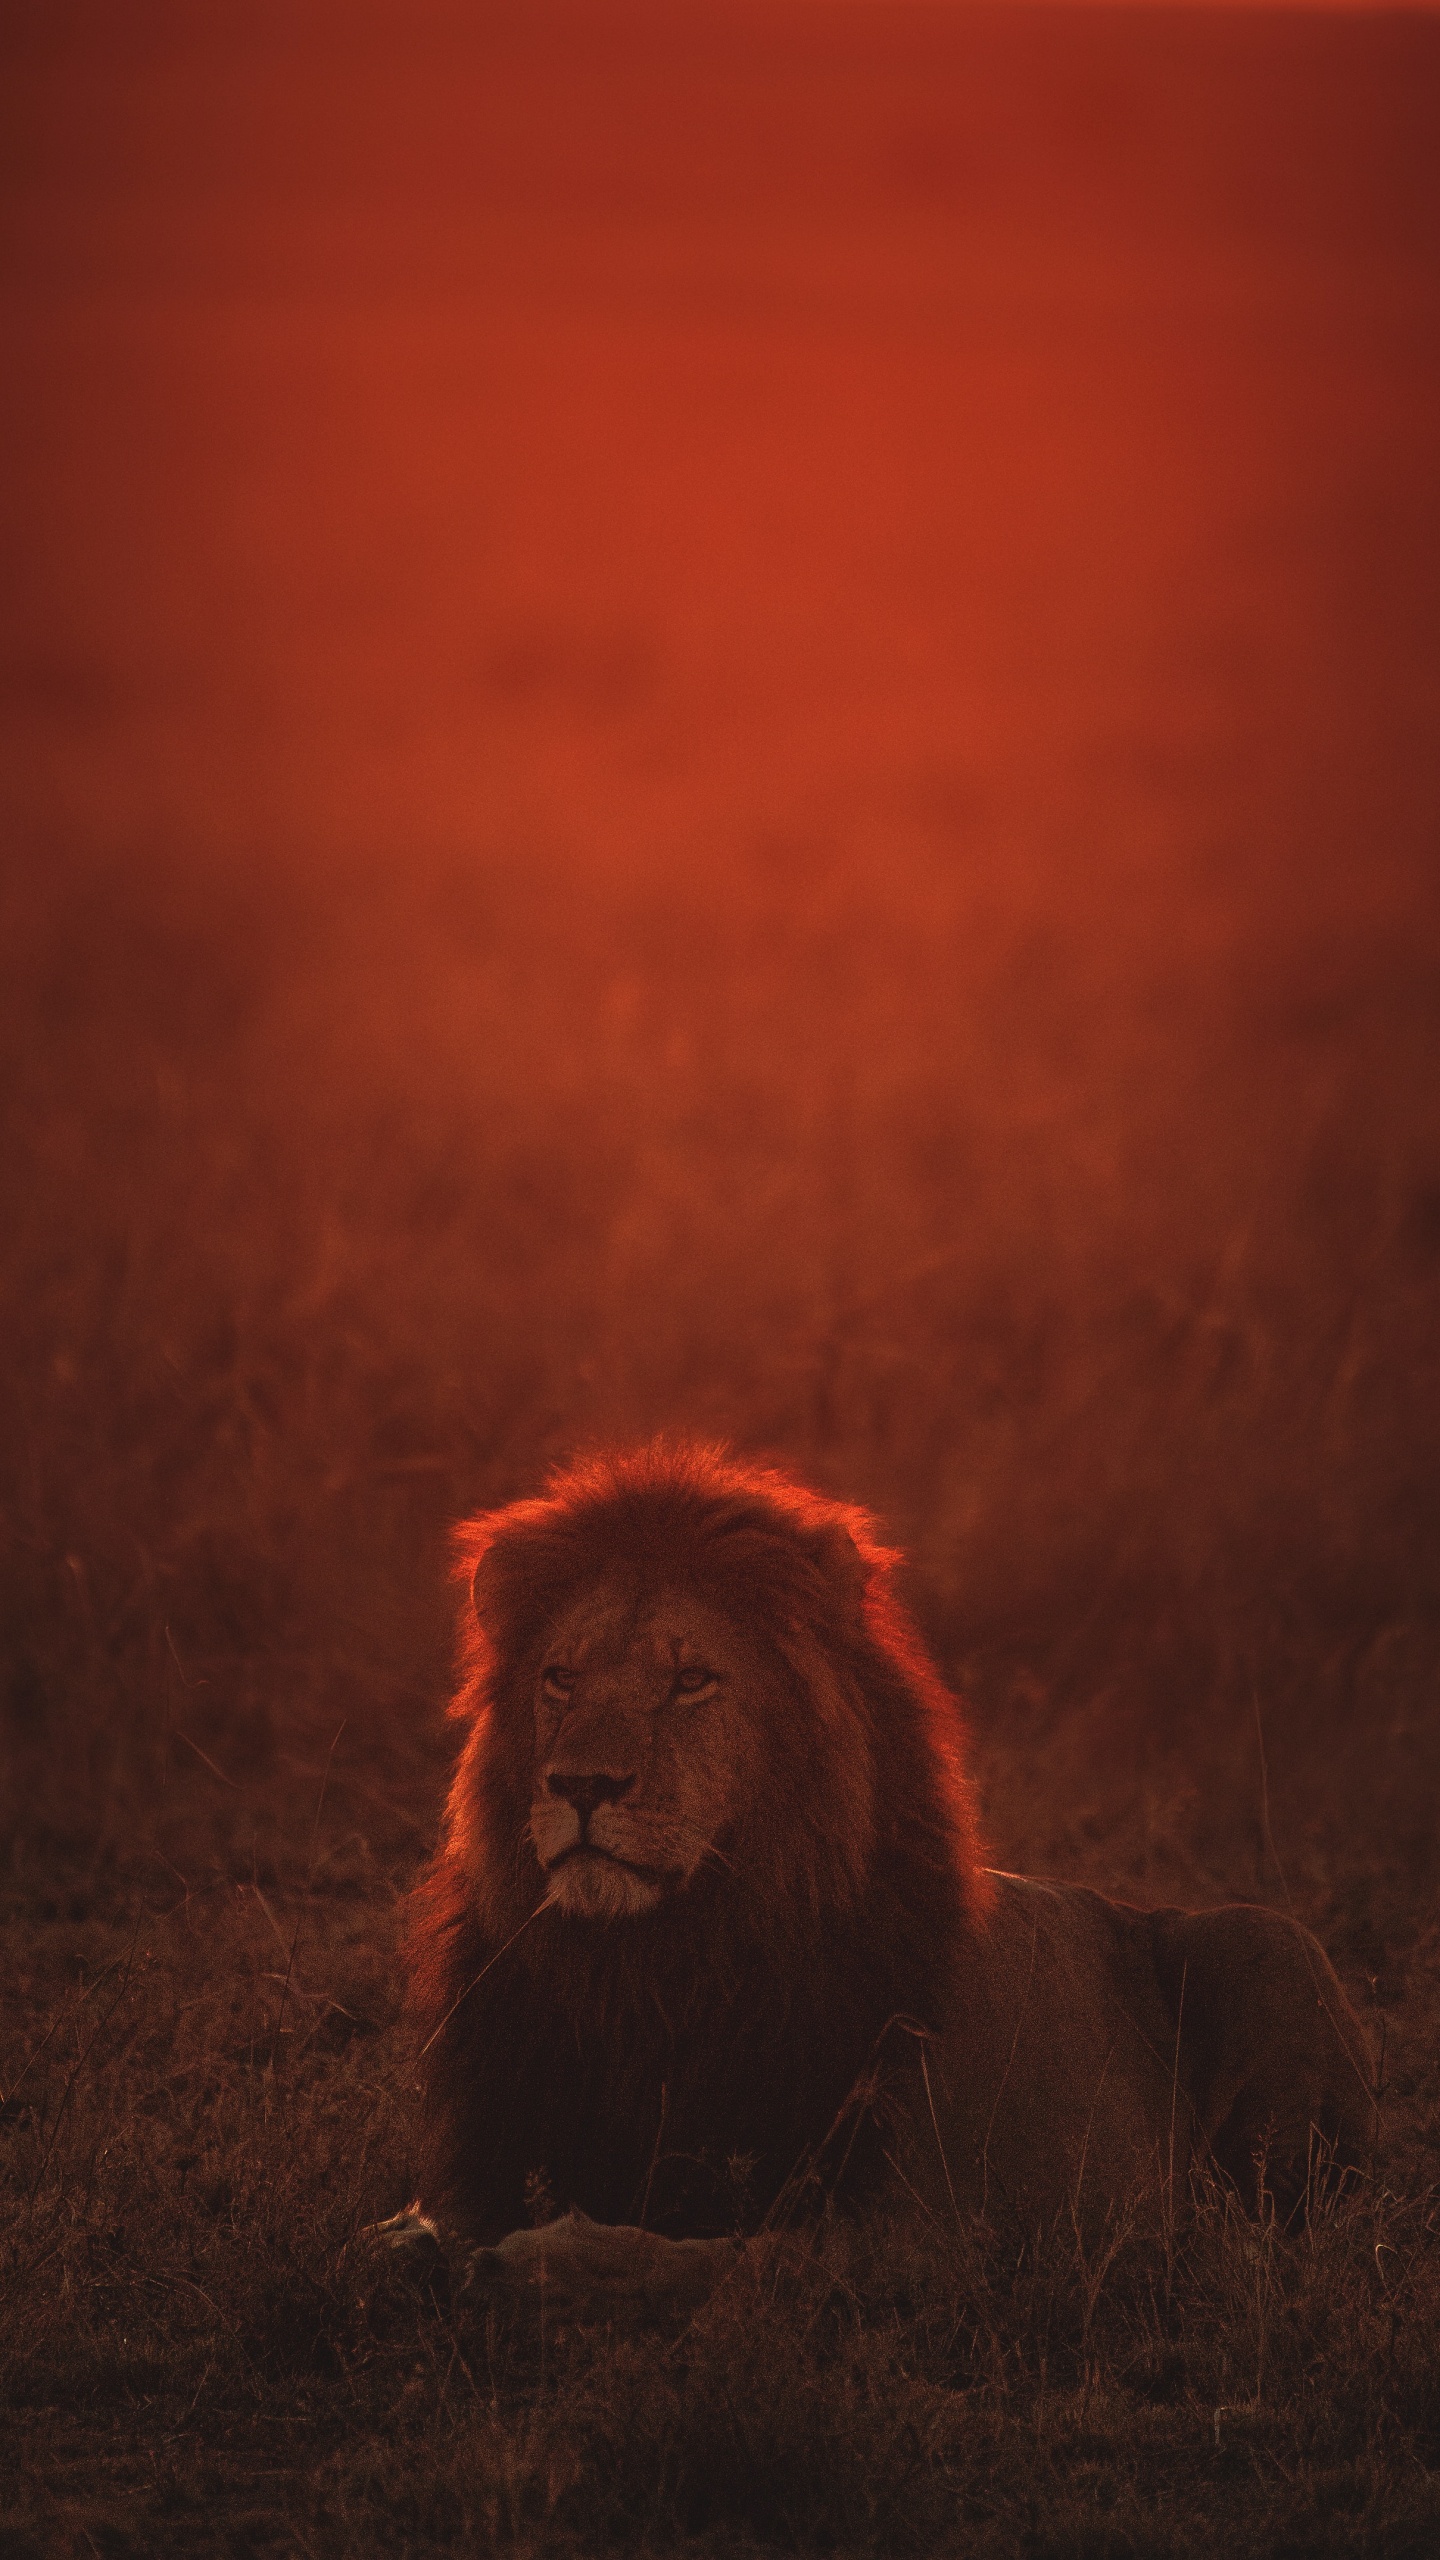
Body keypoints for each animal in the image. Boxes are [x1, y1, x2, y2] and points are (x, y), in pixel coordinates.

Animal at [397, 1443, 1373, 2306]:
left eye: (691, 1681)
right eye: (560, 1678)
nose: (581, 1785)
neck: (653, 1972)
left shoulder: (939, 2231)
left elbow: (734, 2260)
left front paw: (544, 2262)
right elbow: (407, 2236)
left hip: (1270, 1943)